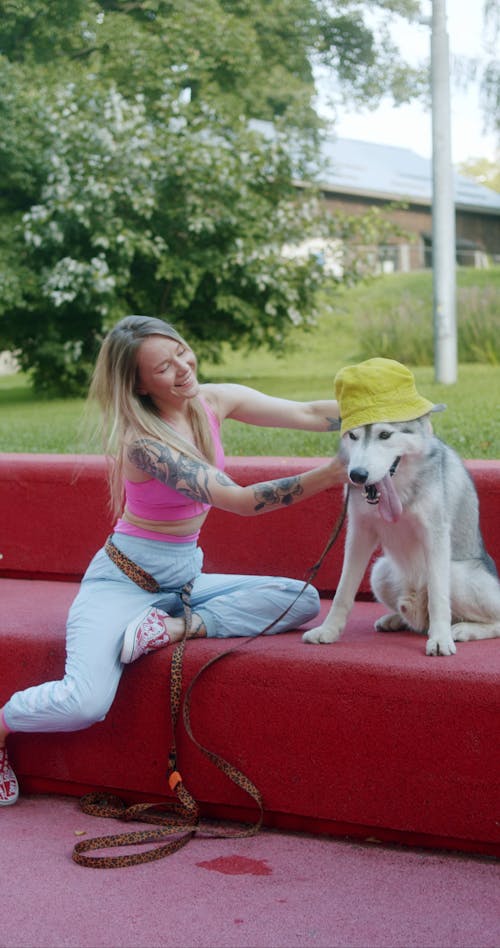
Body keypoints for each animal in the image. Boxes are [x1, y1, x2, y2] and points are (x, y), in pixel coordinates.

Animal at [302, 360, 500, 656]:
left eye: (385, 434)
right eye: (353, 435)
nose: (358, 475)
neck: (400, 490)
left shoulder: (436, 537)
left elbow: (439, 598)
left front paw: (440, 638)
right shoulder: (358, 535)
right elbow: (343, 591)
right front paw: (329, 630)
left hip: (456, 573)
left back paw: (462, 629)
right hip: (380, 570)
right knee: (414, 621)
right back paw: (395, 619)